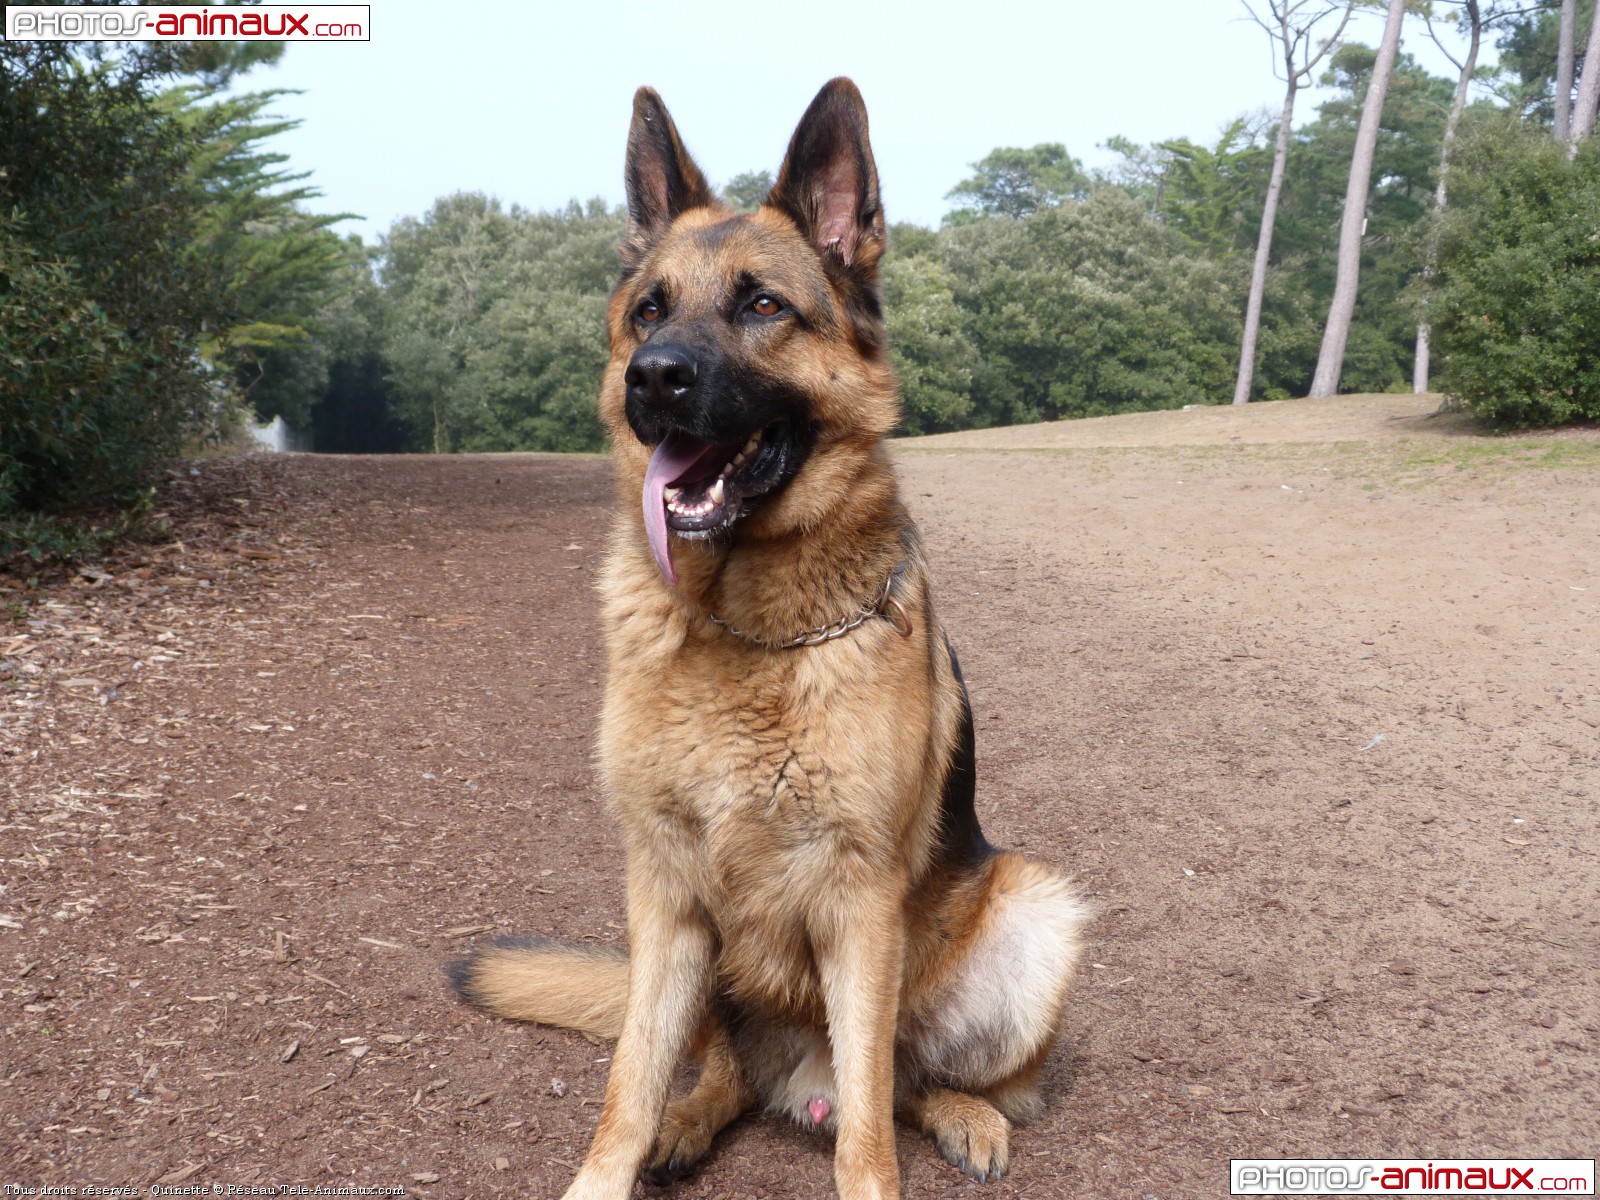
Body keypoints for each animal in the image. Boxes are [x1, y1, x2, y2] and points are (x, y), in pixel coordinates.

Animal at [451, 82, 1088, 1200]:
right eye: (649, 311)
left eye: (762, 308)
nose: (653, 379)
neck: (739, 628)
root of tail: (798, 1080)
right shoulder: (662, 893)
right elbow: (626, 1086)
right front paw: (617, 1161)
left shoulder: (860, 906)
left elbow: (868, 1134)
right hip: (705, 967)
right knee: (715, 1071)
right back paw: (692, 1118)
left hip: (1033, 910)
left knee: (907, 1081)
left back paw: (963, 1113)